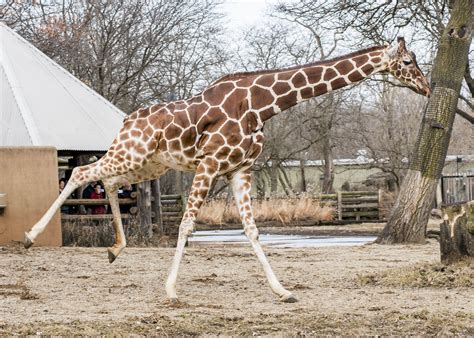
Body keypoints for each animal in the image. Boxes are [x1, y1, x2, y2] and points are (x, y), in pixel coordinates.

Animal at [25, 37, 430, 304]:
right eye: (409, 61)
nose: (426, 87)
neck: (264, 103)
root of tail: (127, 121)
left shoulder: (239, 169)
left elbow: (252, 230)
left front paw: (283, 290)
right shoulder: (210, 163)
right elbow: (187, 225)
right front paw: (171, 290)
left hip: (146, 165)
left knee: (106, 180)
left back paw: (115, 249)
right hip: (130, 152)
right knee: (81, 173)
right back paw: (30, 236)